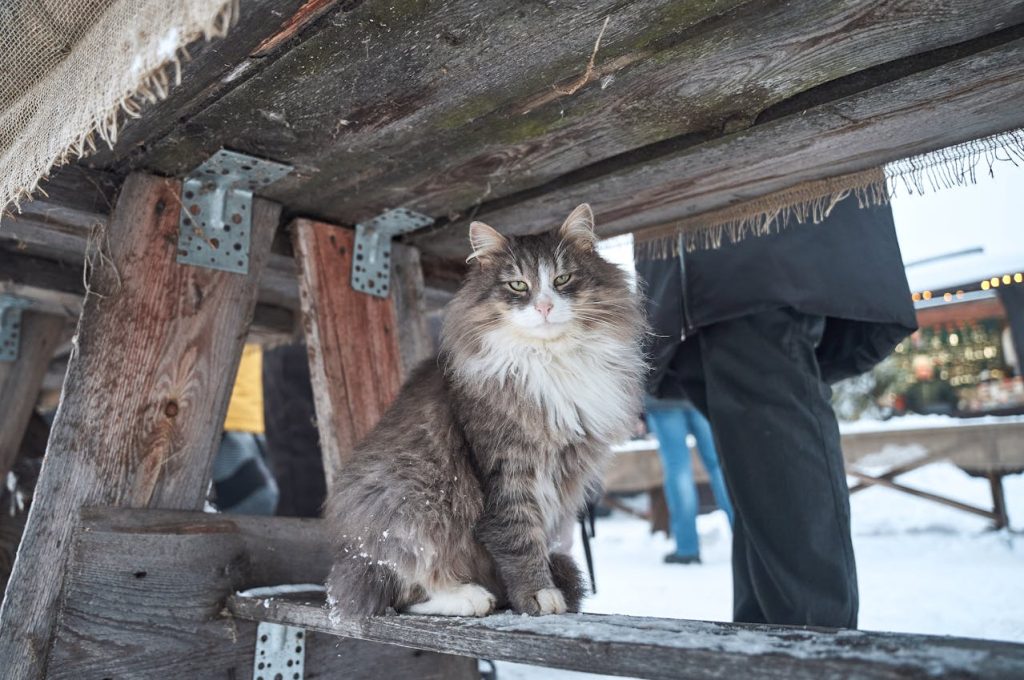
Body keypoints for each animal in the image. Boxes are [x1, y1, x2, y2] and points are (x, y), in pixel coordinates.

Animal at [323, 204, 643, 618]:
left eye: (562, 279)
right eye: (518, 286)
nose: (544, 306)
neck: (548, 360)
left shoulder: (563, 477)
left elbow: (542, 538)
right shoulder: (505, 466)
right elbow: (519, 538)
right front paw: (539, 595)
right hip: (410, 504)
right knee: (401, 592)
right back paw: (470, 597)